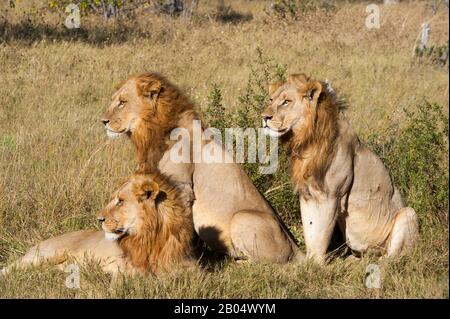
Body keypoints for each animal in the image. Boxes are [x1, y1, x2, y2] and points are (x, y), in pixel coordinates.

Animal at [1, 172, 195, 278]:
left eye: (120, 201)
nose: (99, 219)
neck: (150, 236)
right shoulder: (123, 270)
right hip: (44, 256)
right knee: (9, 268)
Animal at [100, 73, 300, 264]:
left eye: (122, 102)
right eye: (114, 100)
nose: (103, 121)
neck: (153, 134)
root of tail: (297, 249)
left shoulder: (181, 186)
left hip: (242, 218)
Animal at [260, 73, 418, 264]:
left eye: (286, 102)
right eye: (271, 99)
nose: (264, 117)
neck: (306, 142)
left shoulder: (330, 196)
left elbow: (321, 235)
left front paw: (317, 266)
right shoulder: (307, 195)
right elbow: (310, 231)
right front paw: (307, 262)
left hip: (409, 214)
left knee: (395, 258)